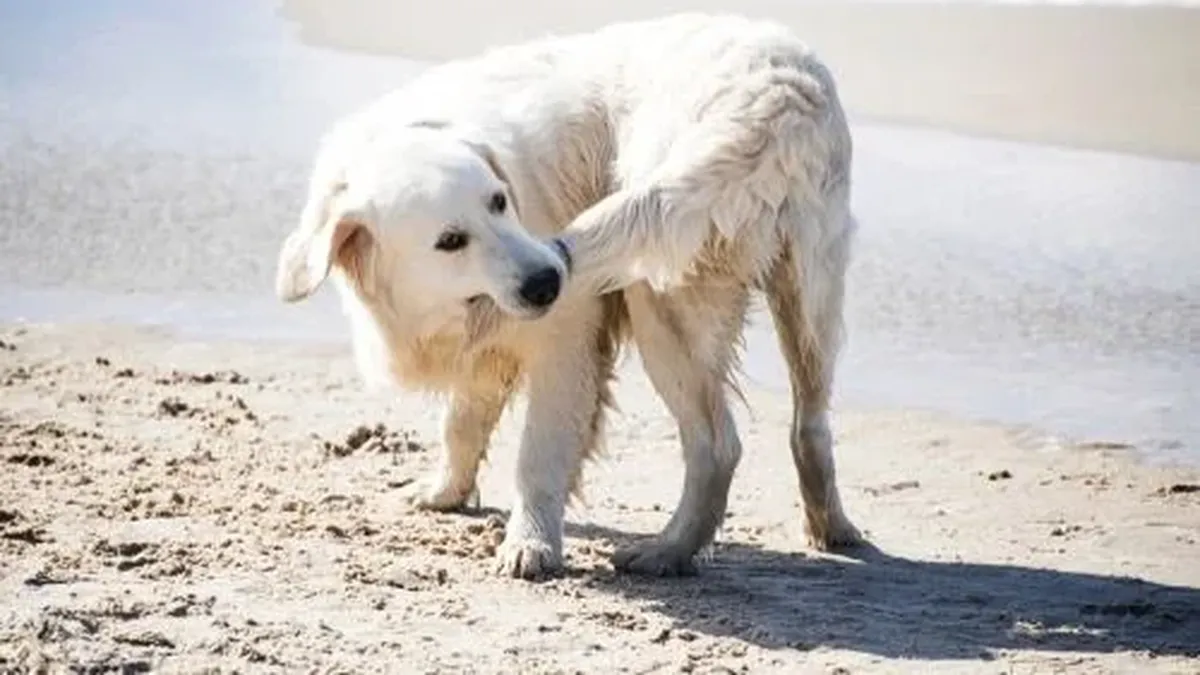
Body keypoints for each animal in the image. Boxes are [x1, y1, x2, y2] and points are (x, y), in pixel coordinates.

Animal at [274, 13, 864, 576]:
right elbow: (460, 422)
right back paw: (831, 529)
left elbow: (538, 453)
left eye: (499, 201)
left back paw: (665, 552)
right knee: (810, 425)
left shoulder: (565, 340)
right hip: (809, 297)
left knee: (717, 446)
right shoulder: (484, 347)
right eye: (450, 241)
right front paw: (446, 492)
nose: (547, 281)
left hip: (661, 297)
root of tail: (777, 95)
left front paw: (530, 544)